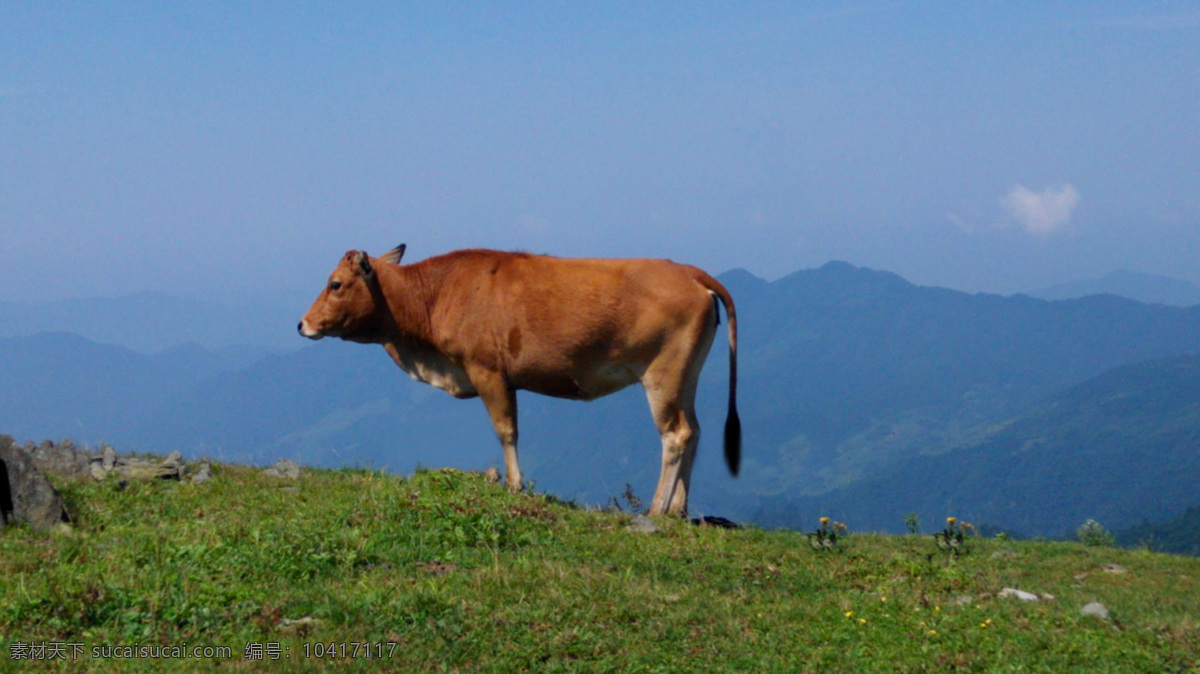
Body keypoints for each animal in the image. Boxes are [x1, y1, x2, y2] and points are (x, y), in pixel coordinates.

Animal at [295, 247, 734, 513]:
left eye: (335, 283)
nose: (302, 324)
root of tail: (687, 271)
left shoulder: (486, 369)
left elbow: (505, 430)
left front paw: (513, 485)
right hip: (687, 374)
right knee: (694, 430)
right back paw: (678, 509)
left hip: (663, 373)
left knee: (675, 434)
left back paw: (657, 509)